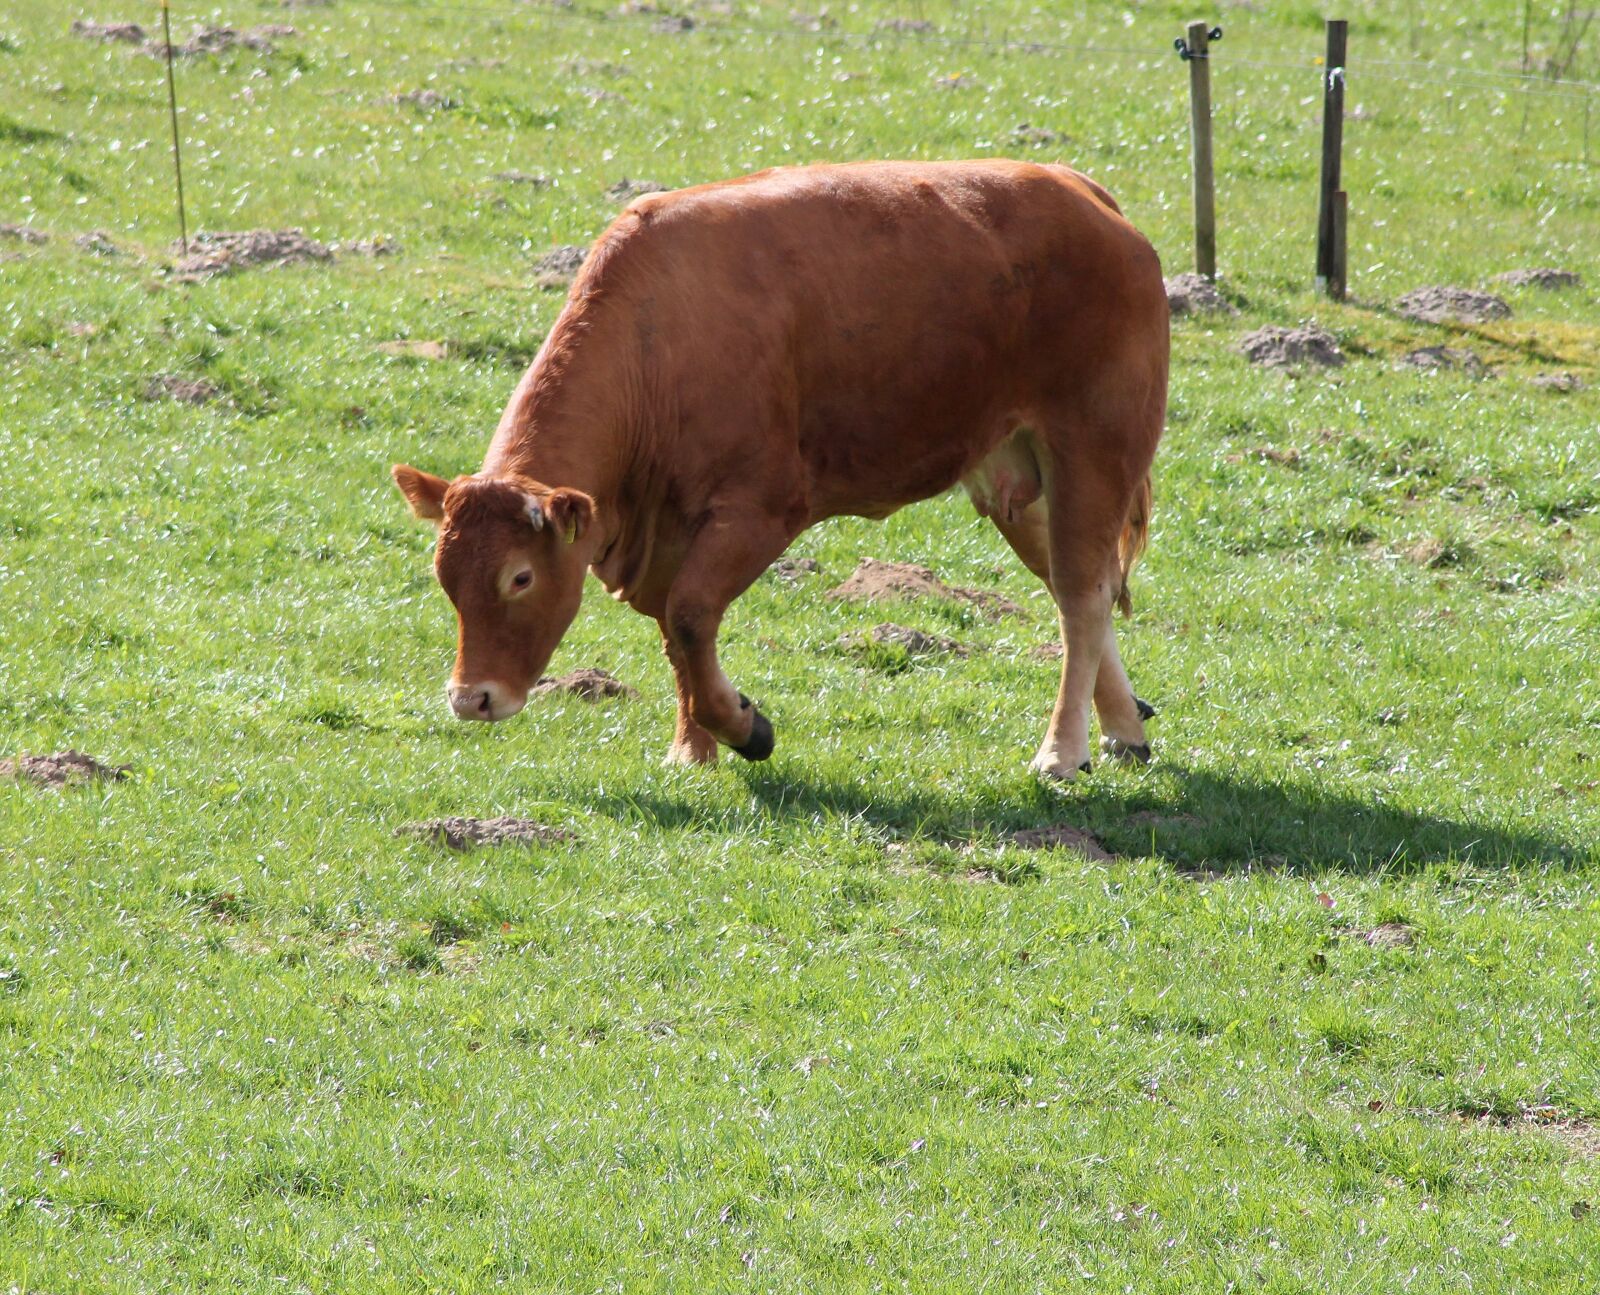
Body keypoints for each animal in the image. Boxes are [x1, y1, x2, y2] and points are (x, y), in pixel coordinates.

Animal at [392, 159, 1168, 780]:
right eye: (444, 578)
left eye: (519, 577)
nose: (471, 698)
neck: (658, 342)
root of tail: (1080, 190)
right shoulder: (668, 530)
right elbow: (676, 633)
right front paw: (692, 750)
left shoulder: (759, 510)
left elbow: (690, 616)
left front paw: (743, 727)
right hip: (1017, 479)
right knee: (1081, 587)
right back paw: (1123, 727)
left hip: (1092, 450)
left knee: (1082, 595)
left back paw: (1062, 751)